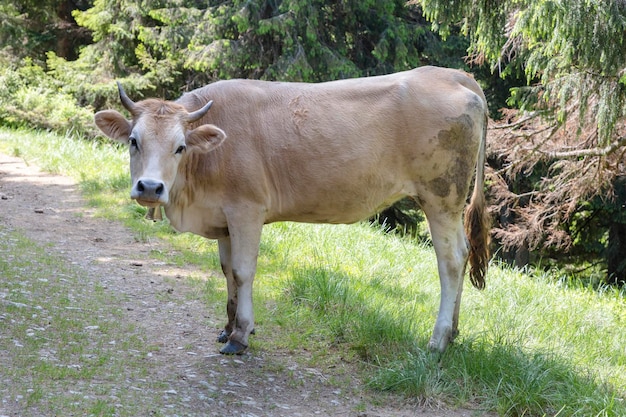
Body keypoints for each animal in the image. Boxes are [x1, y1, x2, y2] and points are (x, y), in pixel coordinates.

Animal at [95, 66, 490, 354]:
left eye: (180, 147)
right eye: (134, 141)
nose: (150, 187)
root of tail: (450, 74)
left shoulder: (247, 210)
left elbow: (243, 271)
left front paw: (241, 335)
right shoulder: (224, 216)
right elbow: (226, 271)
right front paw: (227, 327)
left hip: (441, 196)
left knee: (451, 260)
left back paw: (438, 340)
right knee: (463, 254)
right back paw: (454, 333)